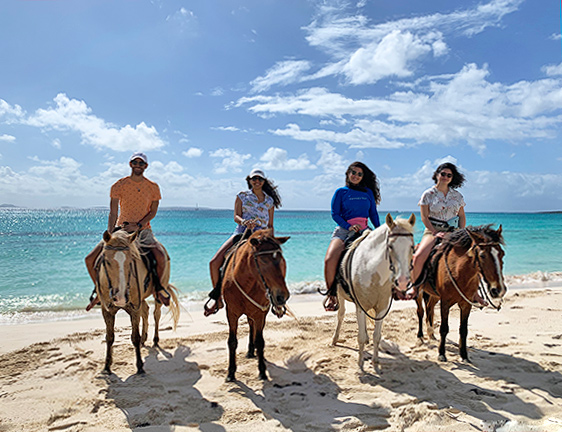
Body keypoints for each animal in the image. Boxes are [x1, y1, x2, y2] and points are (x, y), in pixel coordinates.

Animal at [94, 230, 179, 374]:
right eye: (107, 261)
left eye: (131, 260)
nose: (120, 297)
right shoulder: (107, 310)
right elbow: (109, 337)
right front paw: (107, 366)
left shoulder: (134, 308)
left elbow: (135, 337)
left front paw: (140, 366)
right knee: (145, 311)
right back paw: (145, 338)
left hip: (158, 293)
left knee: (156, 314)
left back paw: (155, 340)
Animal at [220, 230, 288, 382]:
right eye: (263, 260)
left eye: (281, 259)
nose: (282, 297)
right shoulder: (231, 313)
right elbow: (232, 342)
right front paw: (230, 373)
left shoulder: (260, 314)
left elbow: (260, 341)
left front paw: (262, 371)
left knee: (253, 329)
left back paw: (252, 351)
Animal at [330, 213, 414, 372]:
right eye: (390, 246)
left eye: (412, 247)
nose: (403, 282)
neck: (371, 270)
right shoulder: (361, 306)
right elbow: (360, 336)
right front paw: (360, 364)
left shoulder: (382, 308)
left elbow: (377, 336)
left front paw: (375, 362)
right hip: (340, 295)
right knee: (341, 315)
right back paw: (335, 339)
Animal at [414, 224, 506, 362]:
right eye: (482, 255)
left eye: (502, 254)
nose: (498, 290)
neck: (459, 271)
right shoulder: (445, 302)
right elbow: (444, 328)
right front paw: (441, 354)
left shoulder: (466, 304)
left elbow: (463, 329)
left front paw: (464, 355)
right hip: (419, 291)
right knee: (420, 311)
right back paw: (420, 336)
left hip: (435, 296)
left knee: (430, 308)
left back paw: (431, 334)